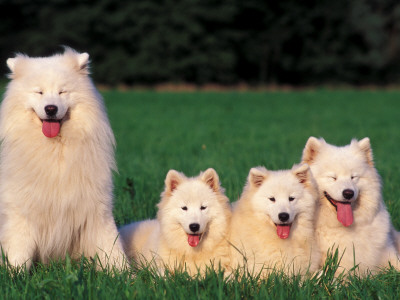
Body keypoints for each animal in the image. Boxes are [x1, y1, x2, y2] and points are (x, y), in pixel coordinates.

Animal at [0, 47, 126, 270]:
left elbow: (111, 247)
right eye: (39, 92)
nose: (51, 108)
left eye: (62, 92)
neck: (55, 150)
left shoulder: (96, 209)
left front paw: (123, 273)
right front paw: (14, 274)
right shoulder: (21, 212)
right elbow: (18, 251)